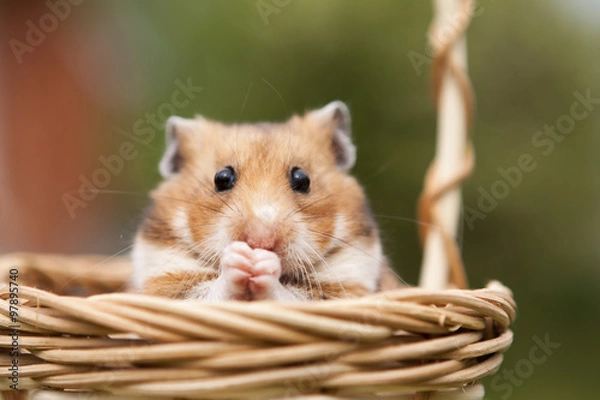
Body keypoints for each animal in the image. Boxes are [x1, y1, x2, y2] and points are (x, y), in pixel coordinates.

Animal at [131, 101, 404, 300]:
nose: (259, 242)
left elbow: (287, 296)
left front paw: (263, 263)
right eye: (221, 178)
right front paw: (240, 258)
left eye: (302, 179)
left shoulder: (347, 285)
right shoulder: (168, 283)